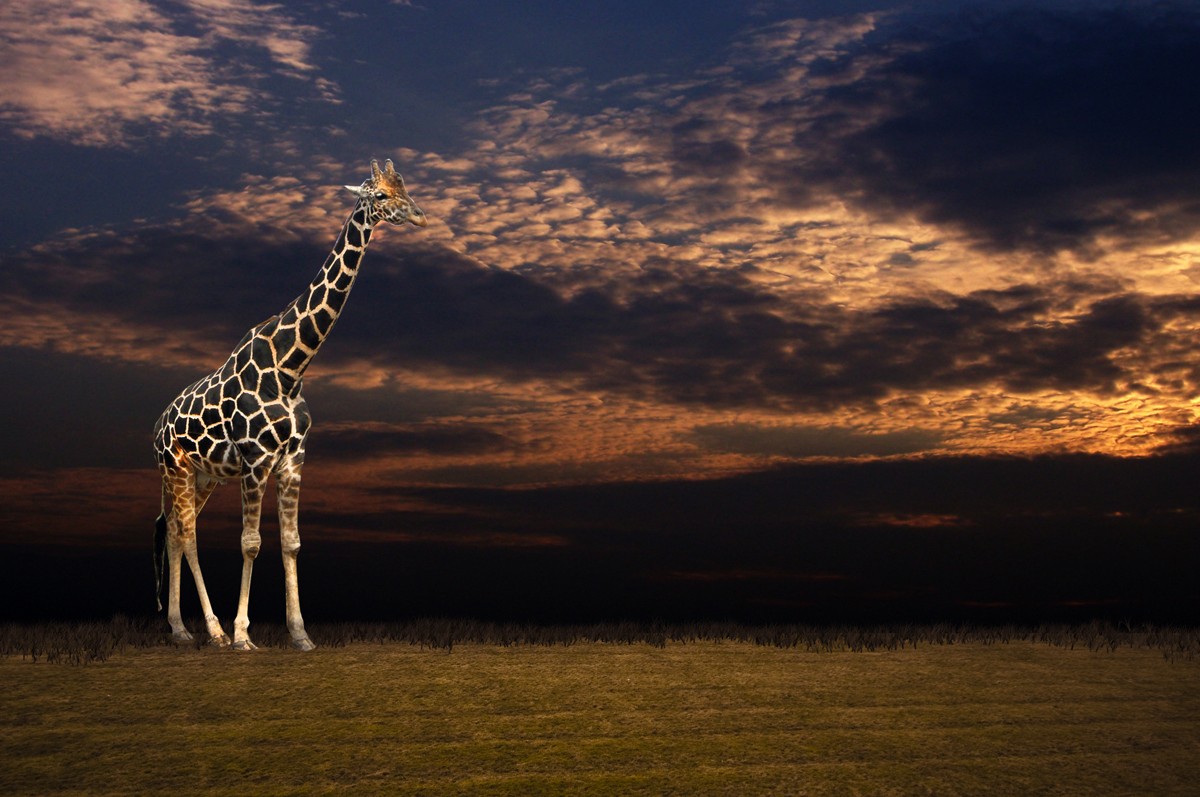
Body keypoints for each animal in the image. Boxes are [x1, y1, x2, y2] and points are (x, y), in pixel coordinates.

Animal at [152, 158, 426, 650]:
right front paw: (243, 636)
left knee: (175, 533)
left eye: (405, 188)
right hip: (176, 466)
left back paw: (186, 629)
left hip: (205, 476)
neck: (291, 367)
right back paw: (207, 631)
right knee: (186, 534)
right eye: (379, 196)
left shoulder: (294, 459)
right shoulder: (256, 460)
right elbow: (250, 542)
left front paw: (300, 634)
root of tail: (156, 426)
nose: (419, 216)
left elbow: (292, 542)